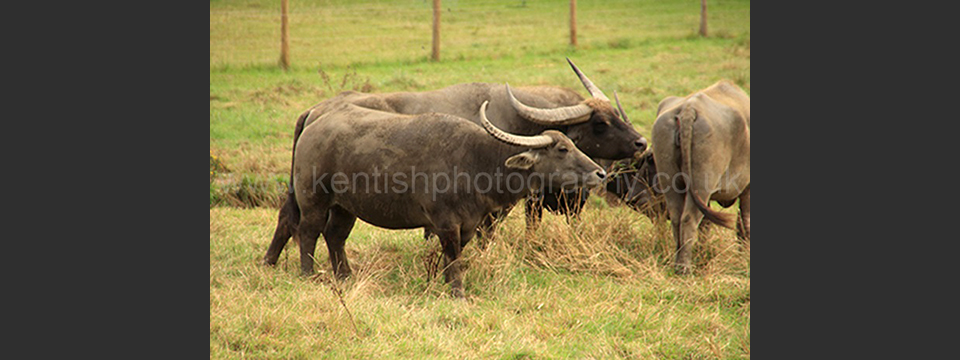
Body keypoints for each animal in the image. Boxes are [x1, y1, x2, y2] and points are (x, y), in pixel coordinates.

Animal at [260, 100, 608, 298]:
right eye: (562, 149)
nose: (600, 172)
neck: (477, 161)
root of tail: (315, 119)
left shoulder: (469, 224)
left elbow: (453, 256)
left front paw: (442, 282)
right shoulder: (445, 222)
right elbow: (453, 255)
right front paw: (457, 292)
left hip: (346, 206)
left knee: (335, 235)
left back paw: (345, 276)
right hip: (314, 198)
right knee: (308, 231)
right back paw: (308, 274)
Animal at [652, 80, 752, 274]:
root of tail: (688, 109)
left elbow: (707, 224)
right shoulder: (748, 188)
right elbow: (745, 222)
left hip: (670, 180)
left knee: (677, 217)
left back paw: (679, 259)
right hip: (701, 183)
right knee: (689, 219)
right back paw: (684, 267)